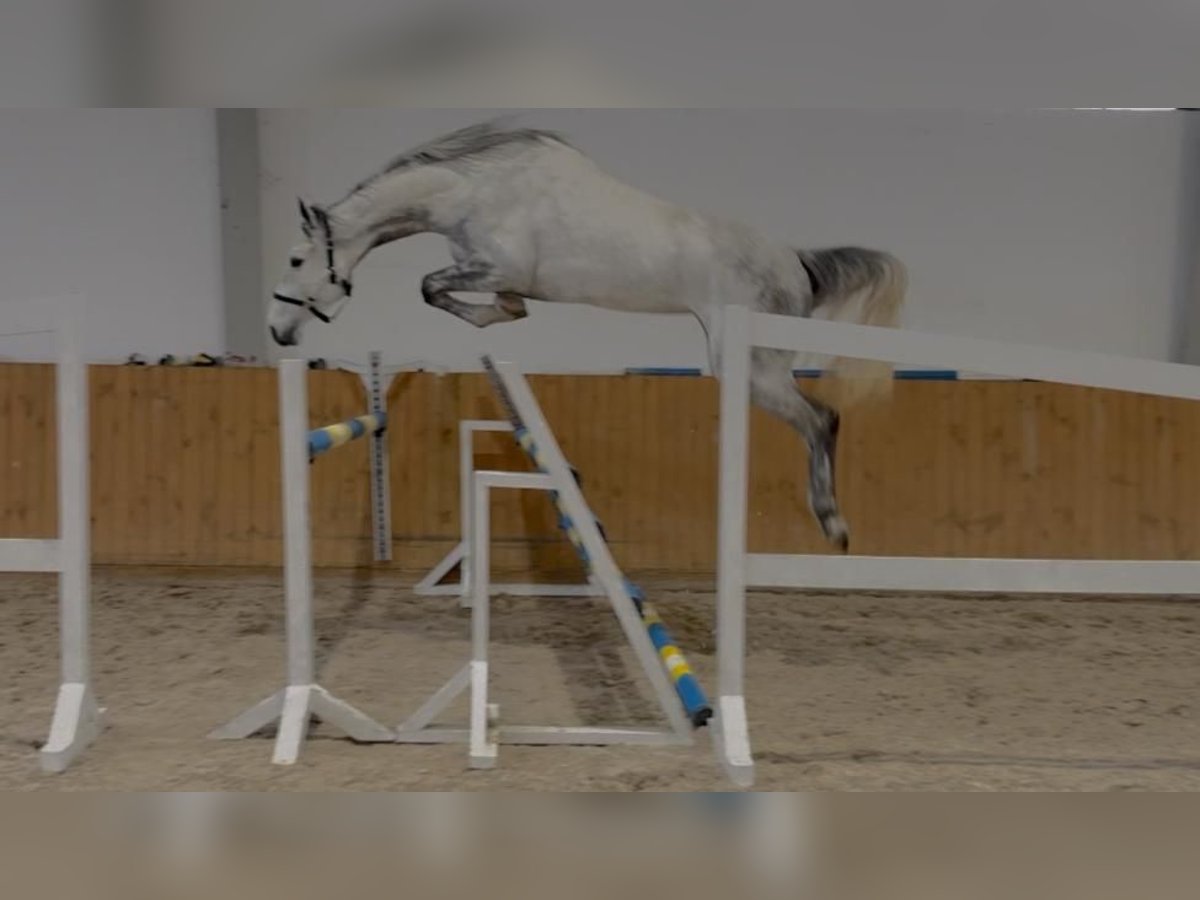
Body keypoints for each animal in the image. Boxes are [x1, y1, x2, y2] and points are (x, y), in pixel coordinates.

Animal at [267, 119, 907, 550]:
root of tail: (796, 261)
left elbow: (429, 286)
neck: (472, 191)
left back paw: (833, 523)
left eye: (297, 259)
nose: (277, 331)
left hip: (752, 368)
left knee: (821, 420)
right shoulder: (502, 279)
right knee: (819, 420)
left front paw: (477, 321)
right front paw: (494, 324)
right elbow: (495, 307)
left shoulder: (491, 268)